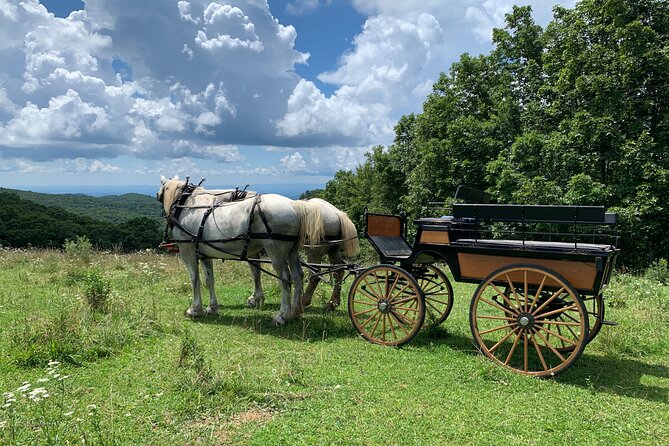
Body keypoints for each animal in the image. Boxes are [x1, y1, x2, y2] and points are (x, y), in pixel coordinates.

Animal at [157, 176, 324, 325]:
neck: (187, 206)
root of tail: (294, 205)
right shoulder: (205, 255)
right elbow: (209, 280)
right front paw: (212, 308)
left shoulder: (188, 252)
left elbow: (194, 279)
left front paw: (195, 309)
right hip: (292, 252)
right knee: (298, 276)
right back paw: (296, 311)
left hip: (276, 253)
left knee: (285, 279)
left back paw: (282, 315)